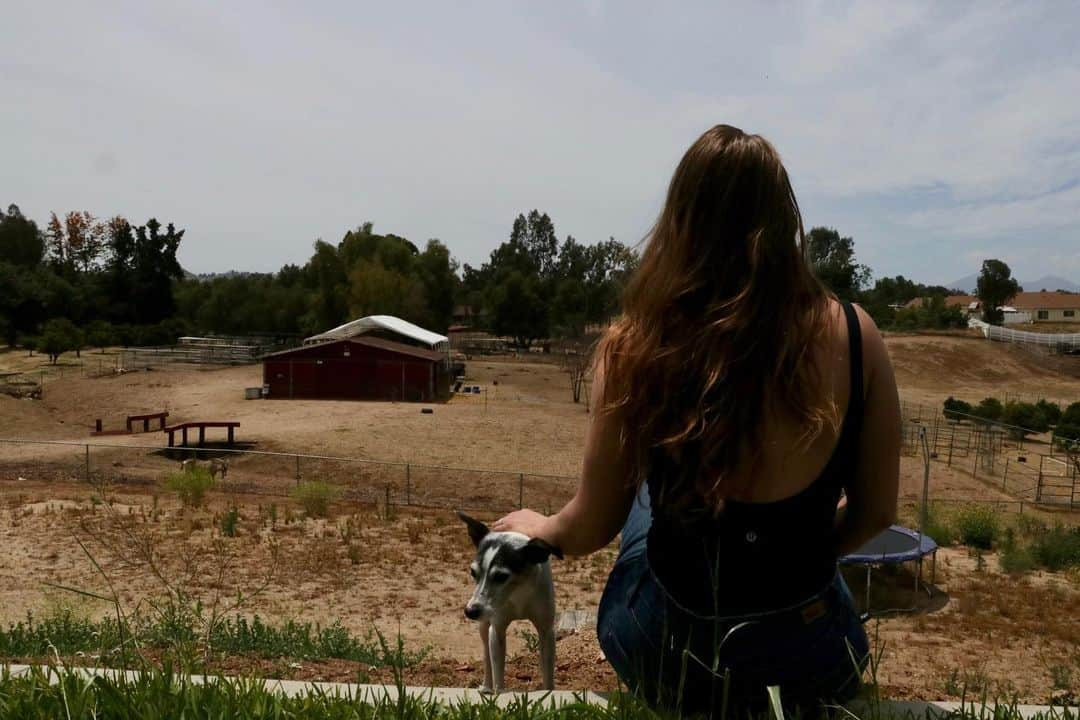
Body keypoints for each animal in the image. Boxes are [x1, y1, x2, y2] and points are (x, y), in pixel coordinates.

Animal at [455, 509, 561, 695]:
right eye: (473, 572)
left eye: (501, 576)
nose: (470, 611)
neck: (518, 592)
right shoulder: (496, 630)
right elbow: (497, 671)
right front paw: (498, 692)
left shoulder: (546, 631)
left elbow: (548, 675)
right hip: (484, 627)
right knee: (486, 656)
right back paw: (486, 686)